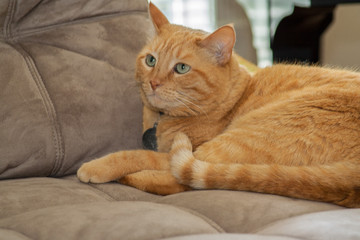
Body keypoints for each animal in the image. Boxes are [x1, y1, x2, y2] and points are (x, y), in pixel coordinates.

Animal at [77, 2, 360, 206]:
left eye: (181, 68)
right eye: (150, 60)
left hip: (234, 141)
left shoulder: (182, 149)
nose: (154, 82)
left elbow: (137, 154)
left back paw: (127, 177)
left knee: (176, 181)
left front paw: (97, 166)